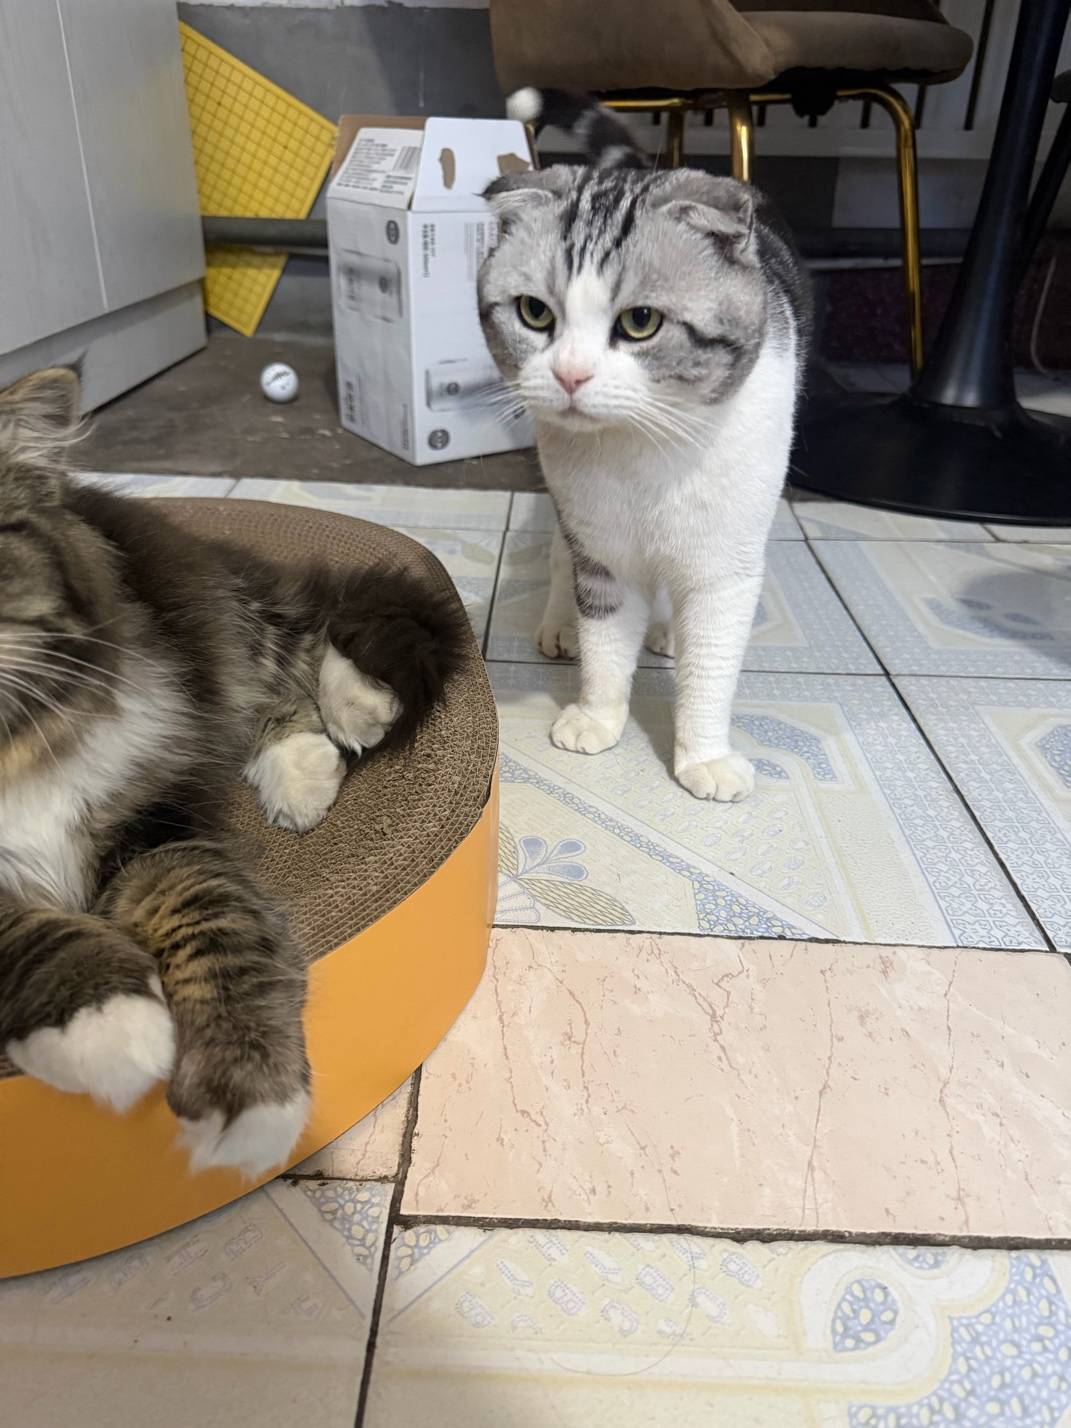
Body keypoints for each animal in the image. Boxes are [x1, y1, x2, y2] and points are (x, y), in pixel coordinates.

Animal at [0, 367, 467, 1177]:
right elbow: (35, 935)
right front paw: (107, 1024)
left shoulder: (150, 824)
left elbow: (210, 915)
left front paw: (246, 1096)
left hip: (217, 623)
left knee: (304, 646)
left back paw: (351, 718)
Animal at [480, 89, 811, 801]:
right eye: (535, 313)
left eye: (640, 322)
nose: (570, 375)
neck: (644, 452)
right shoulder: (601, 547)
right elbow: (605, 644)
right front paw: (596, 717)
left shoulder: (725, 565)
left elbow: (711, 667)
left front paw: (704, 757)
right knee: (560, 559)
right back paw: (560, 623)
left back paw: (664, 632)